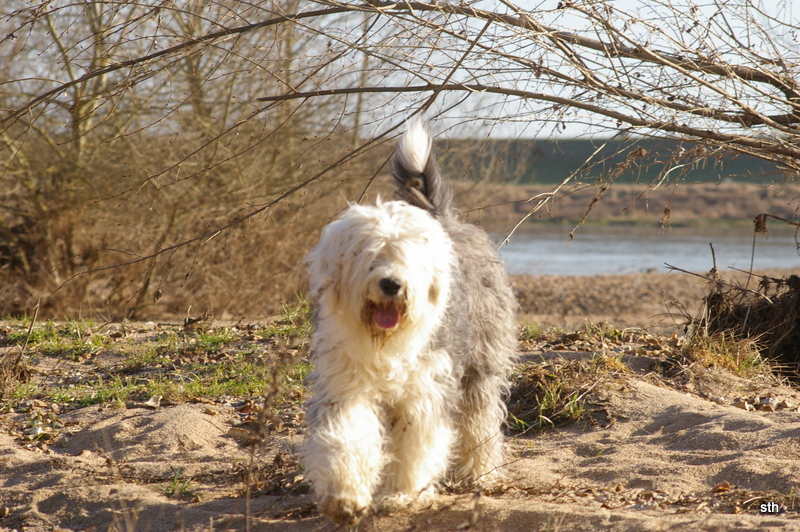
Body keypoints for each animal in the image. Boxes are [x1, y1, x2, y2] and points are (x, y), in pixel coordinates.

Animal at [302, 119, 520, 524]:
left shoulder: (425, 388)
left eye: (408, 256)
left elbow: (415, 443)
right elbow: (348, 434)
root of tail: (444, 219)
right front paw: (345, 497)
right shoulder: (348, 384)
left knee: (480, 418)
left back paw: (482, 472)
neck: (385, 341)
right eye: (369, 254)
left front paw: (402, 494)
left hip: (480, 364)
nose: (391, 284)